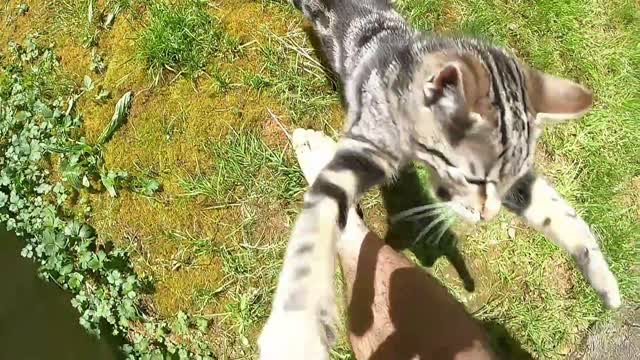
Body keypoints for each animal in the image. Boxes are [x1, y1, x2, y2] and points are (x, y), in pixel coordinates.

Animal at [258, 0, 620, 358]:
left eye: (505, 182)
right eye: (475, 180)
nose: (489, 216)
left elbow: (556, 210)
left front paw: (602, 276)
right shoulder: (367, 146)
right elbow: (315, 229)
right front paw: (295, 331)